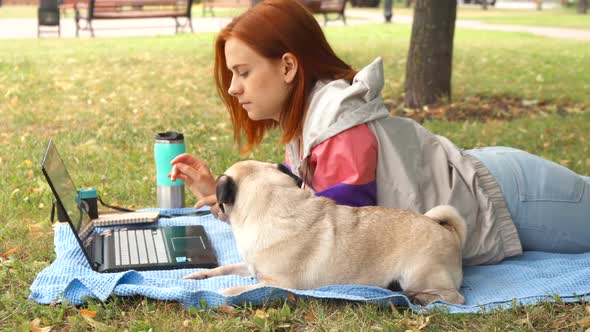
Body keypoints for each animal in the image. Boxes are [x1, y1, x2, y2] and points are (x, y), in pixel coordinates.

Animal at [184, 160, 468, 304]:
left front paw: (223, 293)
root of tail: (447, 231)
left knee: (455, 298)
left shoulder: (280, 283)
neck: (274, 206)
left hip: (419, 274)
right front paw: (199, 275)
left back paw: (419, 298)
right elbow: (225, 268)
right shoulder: (251, 267)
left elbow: (241, 290)